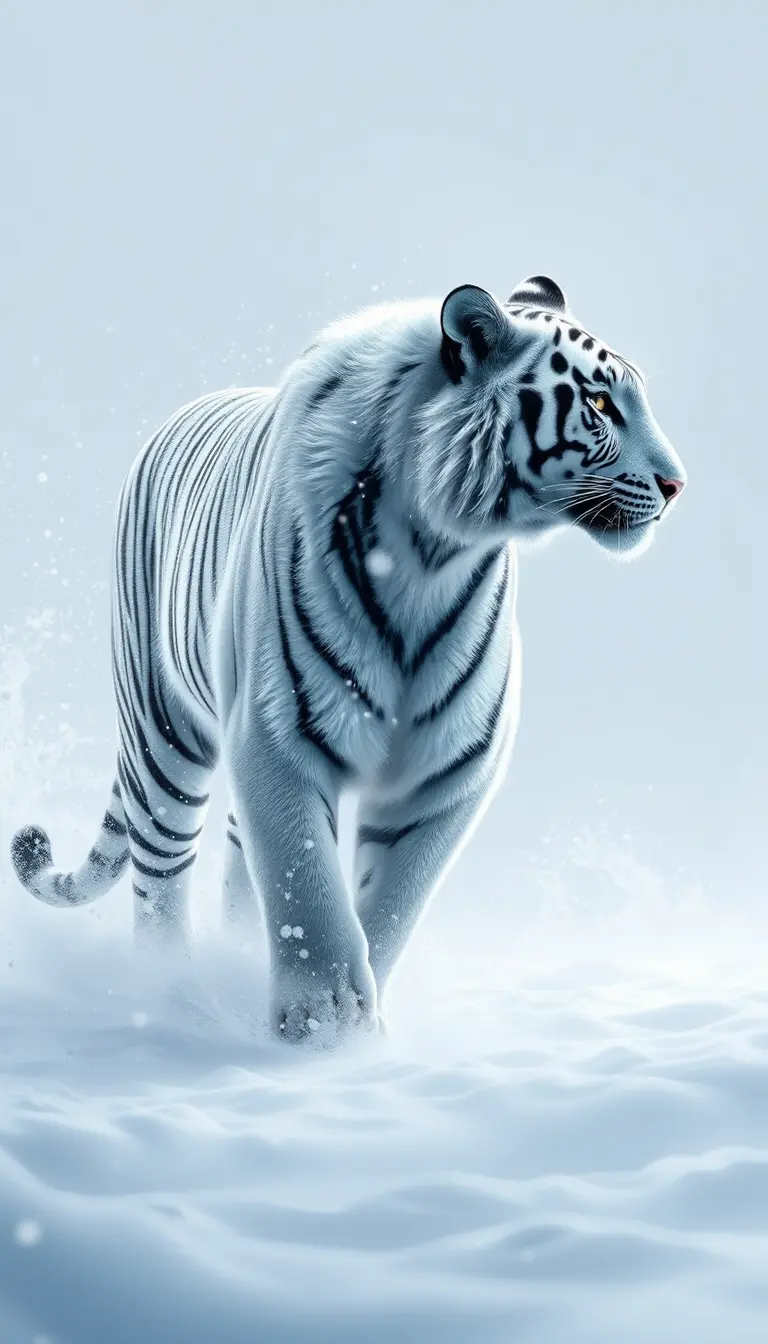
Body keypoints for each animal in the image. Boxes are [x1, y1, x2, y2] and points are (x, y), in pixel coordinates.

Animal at [11, 276, 686, 1043]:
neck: (436, 550)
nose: (676, 485)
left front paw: (355, 1032)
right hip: (163, 731)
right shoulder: (276, 736)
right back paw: (170, 996)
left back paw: (234, 962)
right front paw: (322, 1026)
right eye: (600, 404)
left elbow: (390, 901)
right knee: (161, 869)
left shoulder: (448, 768)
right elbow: (306, 884)